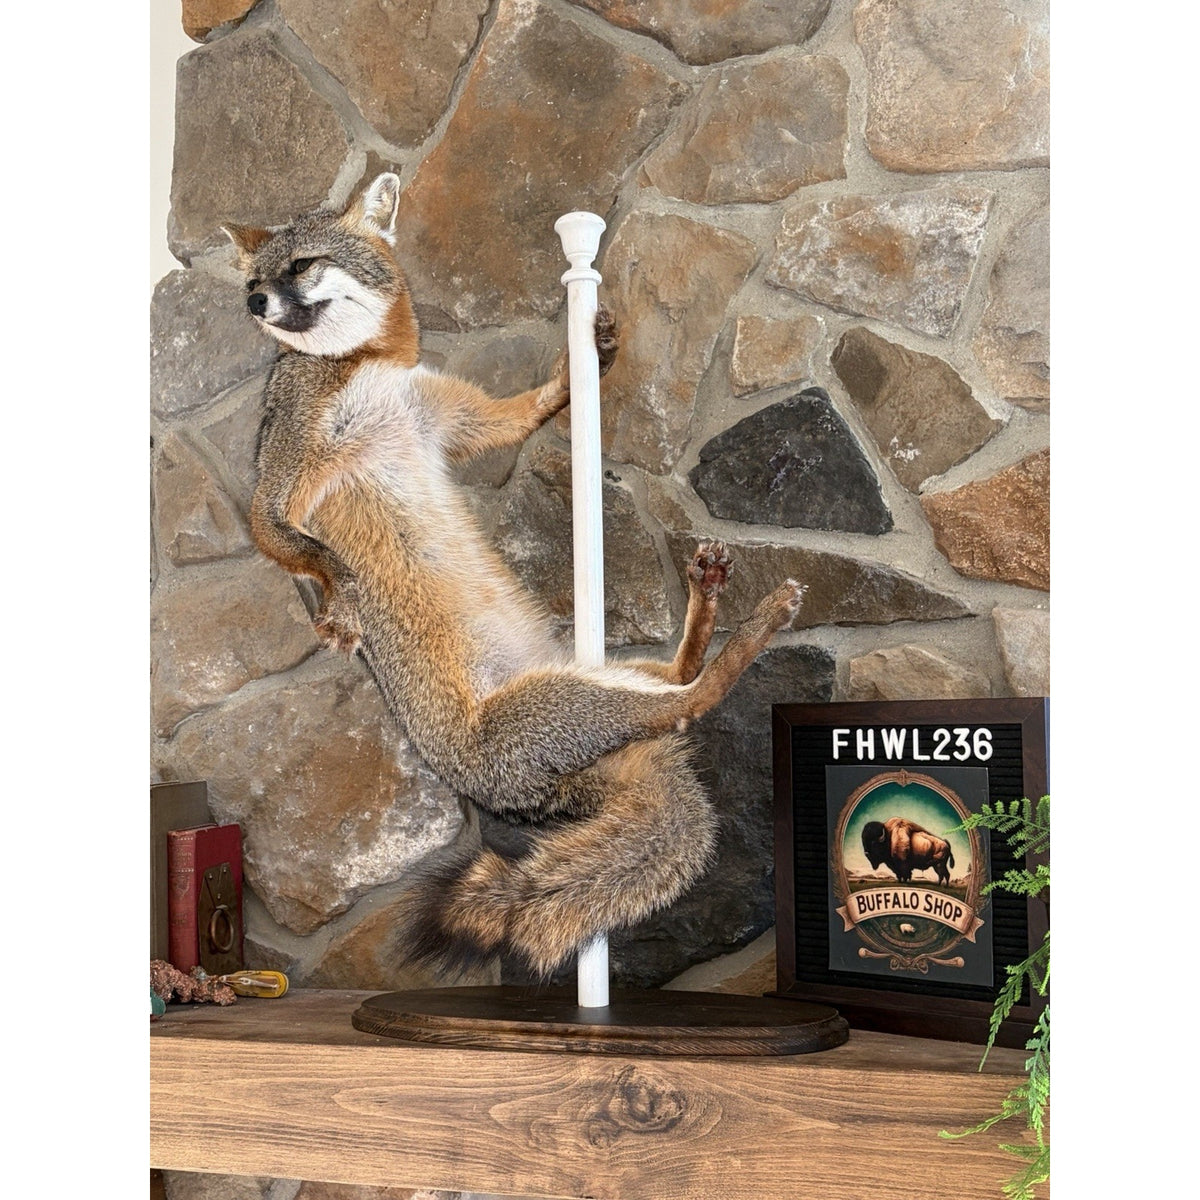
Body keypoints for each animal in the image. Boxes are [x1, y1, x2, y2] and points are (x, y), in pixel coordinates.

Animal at [223, 172, 808, 980]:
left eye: (300, 266)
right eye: (254, 280)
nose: (253, 305)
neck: (373, 372)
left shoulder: (449, 421)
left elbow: (523, 411)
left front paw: (580, 367)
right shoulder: (275, 487)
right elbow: (304, 548)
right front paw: (338, 601)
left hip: (602, 677)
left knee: (679, 681)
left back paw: (710, 605)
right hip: (569, 701)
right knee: (692, 701)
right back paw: (757, 624)